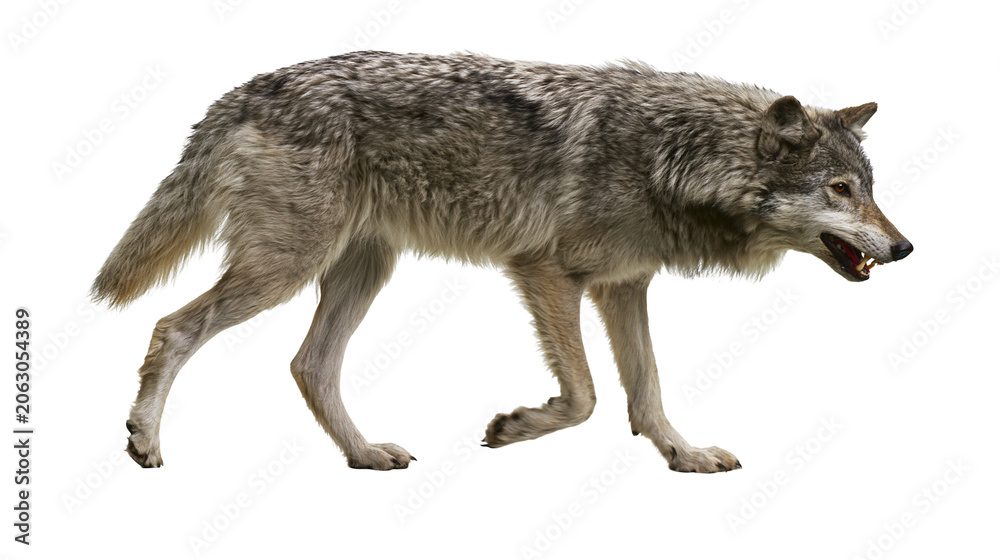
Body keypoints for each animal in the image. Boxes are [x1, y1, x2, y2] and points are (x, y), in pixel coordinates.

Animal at [92, 51, 912, 473]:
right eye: (840, 191)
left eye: (870, 189)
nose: (905, 247)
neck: (670, 156)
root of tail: (242, 90)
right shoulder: (545, 273)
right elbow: (585, 398)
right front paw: (515, 427)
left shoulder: (624, 287)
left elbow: (645, 392)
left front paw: (683, 453)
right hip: (284, 268)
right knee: (173, 328)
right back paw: (144, 441)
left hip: (362, 271)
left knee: (309, 365)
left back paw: (363, 454)